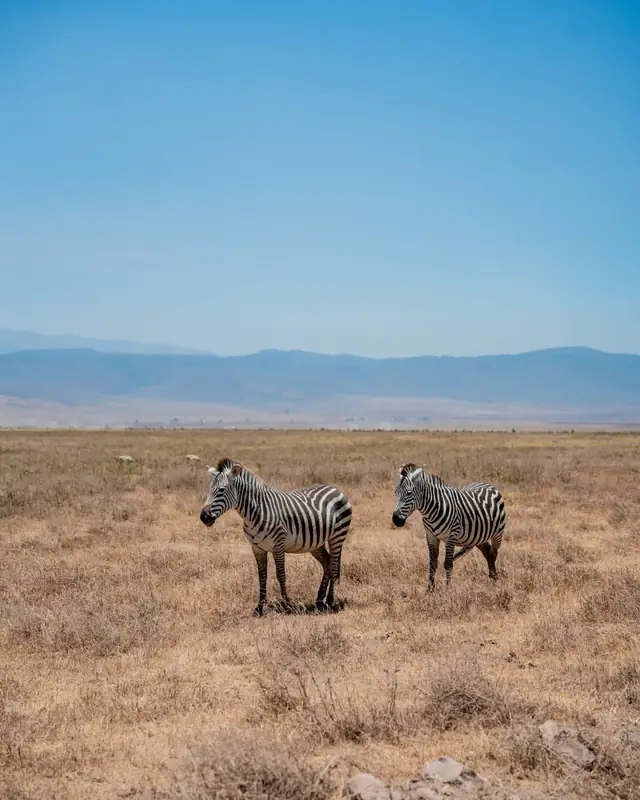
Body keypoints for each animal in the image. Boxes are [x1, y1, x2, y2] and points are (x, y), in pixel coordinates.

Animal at [199, 458, 352, 616]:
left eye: (221, 490)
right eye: (209, 490)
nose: (204, 517)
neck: (256, 512)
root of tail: (334, 488)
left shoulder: (278, 545)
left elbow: (281, 575)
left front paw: (287, 605)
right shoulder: (257, 548)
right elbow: (262, 577)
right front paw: (259, 608)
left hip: (337, 536)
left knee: (333, 566)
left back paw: (330, 602)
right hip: (316, 543)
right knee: (327, 563)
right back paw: (320, 601)